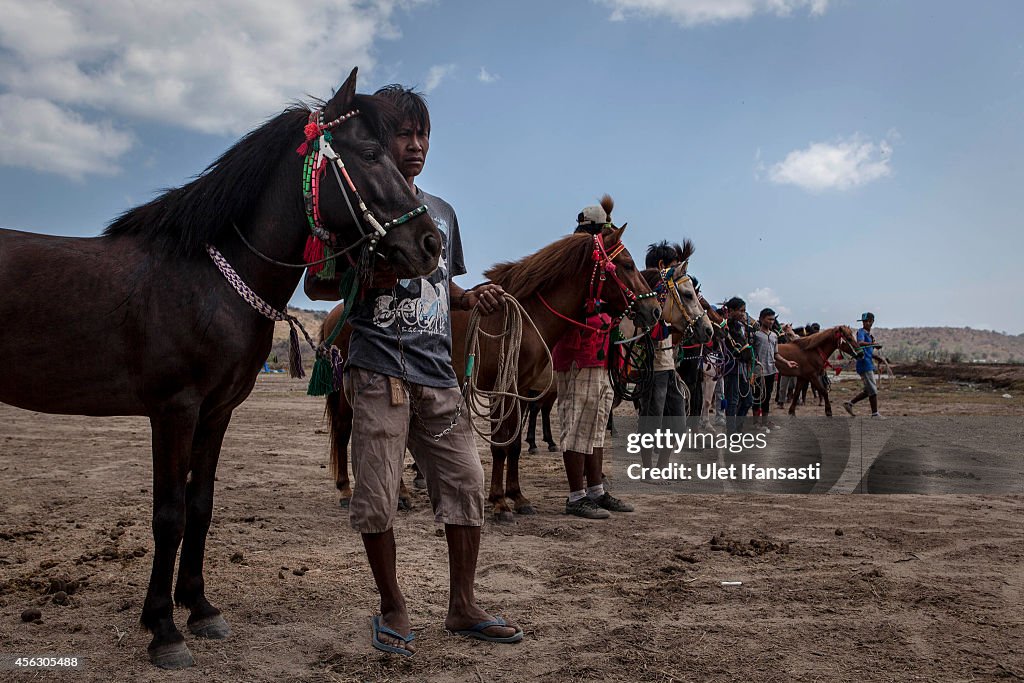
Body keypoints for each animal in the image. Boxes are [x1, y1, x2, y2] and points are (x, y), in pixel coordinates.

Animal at [0, 68, 438, 667]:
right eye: (371, 153)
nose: (430, 242)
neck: (210, 282)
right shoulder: (174, 411)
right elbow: (168, 515)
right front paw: (163, 628)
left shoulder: (216, 412)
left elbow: (200, 506)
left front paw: (199, 608)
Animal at [325, 225, 679, 524]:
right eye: (628, 265)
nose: (654, 312)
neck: (530, 313)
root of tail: (336, 316)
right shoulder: (499, 388)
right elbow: (498, 446)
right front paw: (498, 503)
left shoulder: (518, 391)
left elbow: (514, 446)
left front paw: (517, 496)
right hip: (348, 391)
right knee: (344, 431)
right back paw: (348, 490)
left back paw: (398, 494)